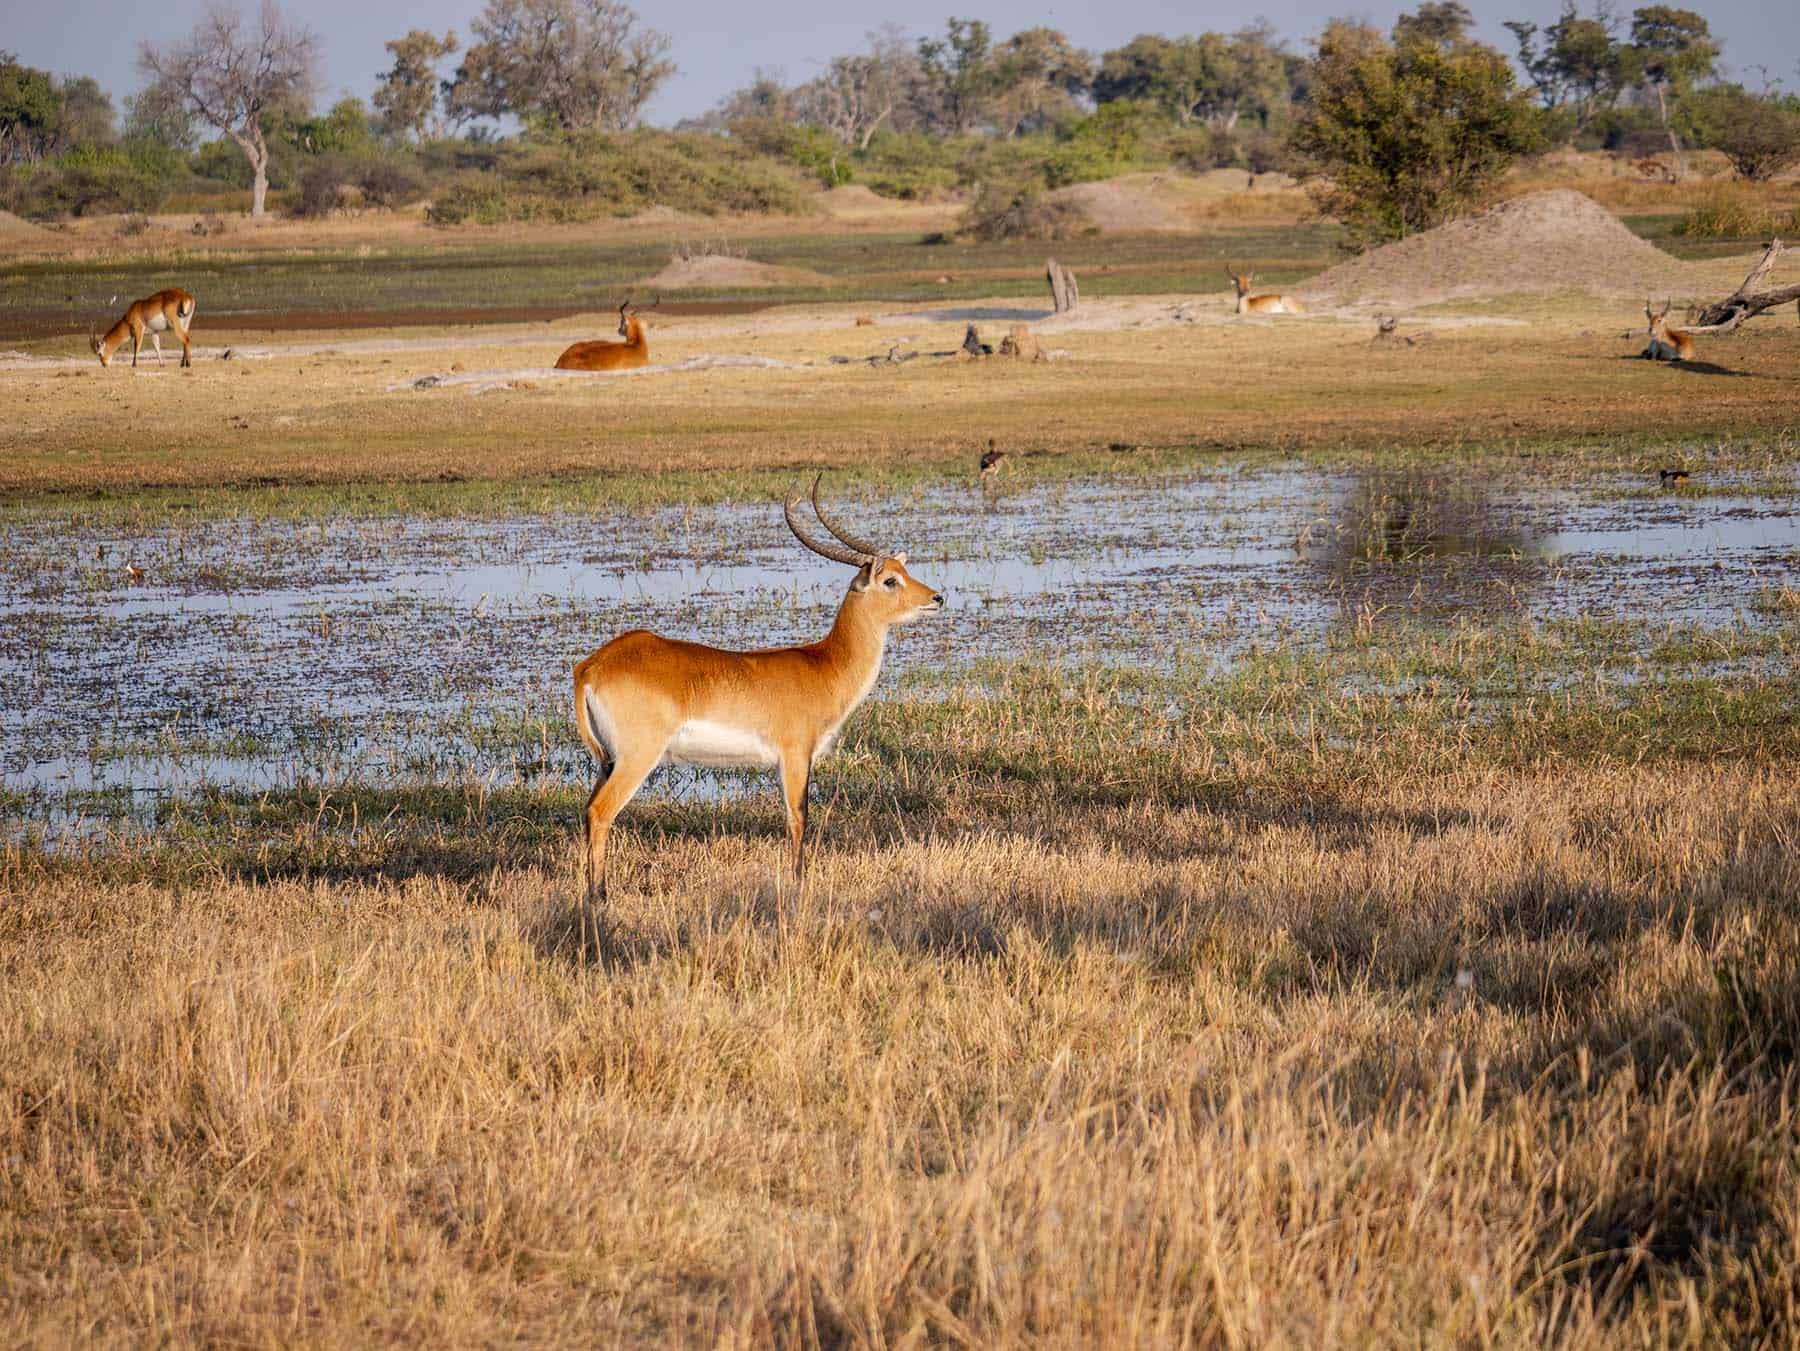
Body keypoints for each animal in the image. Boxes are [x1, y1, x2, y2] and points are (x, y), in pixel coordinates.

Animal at [572, 478, 944, 902]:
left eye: (905, 570)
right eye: (890, 580)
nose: (937, 598)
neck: (824, 665)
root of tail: (591, 667)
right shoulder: (796, 755)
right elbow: (798, 816)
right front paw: (799, 881)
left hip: (608, 761)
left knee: (588, 810)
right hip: (637, 757)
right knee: (601, 812)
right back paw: (599, 895)